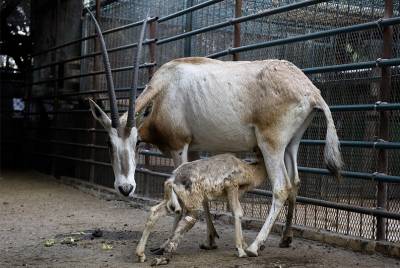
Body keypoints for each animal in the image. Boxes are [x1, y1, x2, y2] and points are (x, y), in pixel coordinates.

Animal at [136, 153, 268, 264]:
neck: (250, 173)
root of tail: (170, 182)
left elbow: (234, 212)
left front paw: (244, 246)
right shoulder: (231, 185)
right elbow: (238, 212)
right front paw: (241, 251)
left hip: (175, 200)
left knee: (155, 211)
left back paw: (142, 255)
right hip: (192, 201)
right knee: (189, 219)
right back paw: (164, 254)